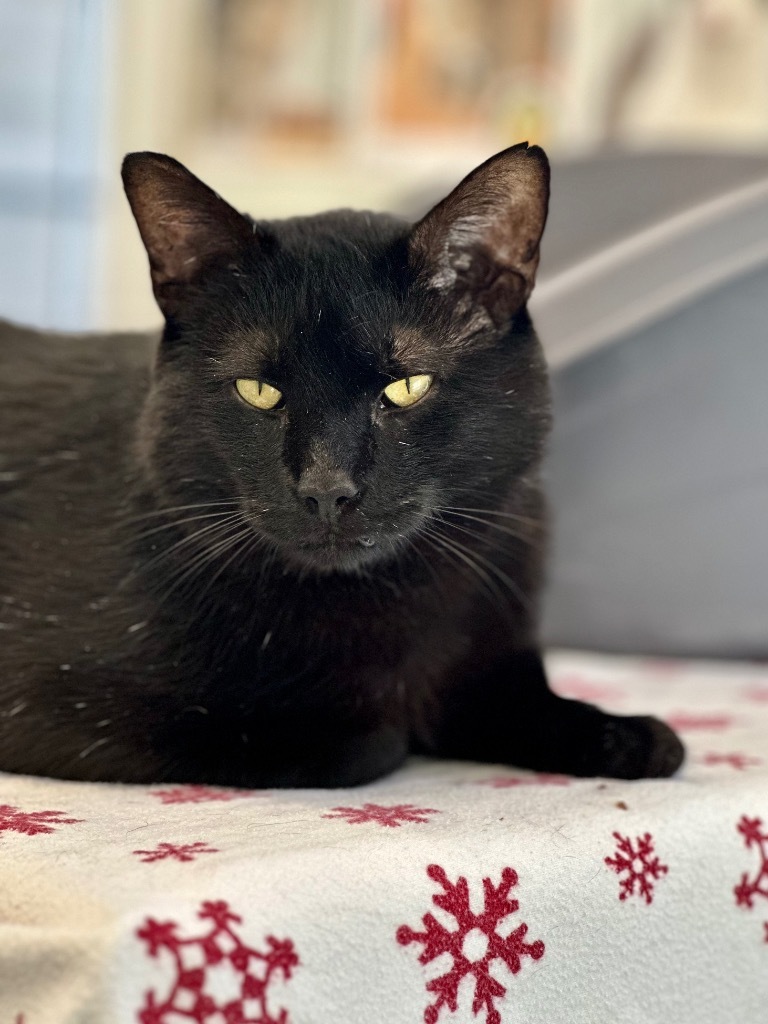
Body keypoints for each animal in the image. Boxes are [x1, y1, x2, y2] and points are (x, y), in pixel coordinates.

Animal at [0, 142, 684, 782]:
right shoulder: (61, 708)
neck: (391, 600)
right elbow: (359, 741)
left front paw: (631, 736)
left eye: (407, 387)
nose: (327, 488)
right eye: (258, 391)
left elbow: (526, 707)